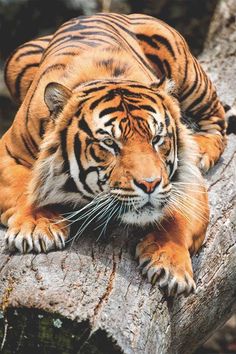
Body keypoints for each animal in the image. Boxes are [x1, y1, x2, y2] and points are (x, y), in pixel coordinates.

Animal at [0, 13, 225, 296]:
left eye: (156, 139)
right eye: (109, 143)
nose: (150, 184)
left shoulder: (188, 177)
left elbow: (179, 217)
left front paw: (170, 264)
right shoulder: (9, 153)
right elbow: (26, 188)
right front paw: (35, 227)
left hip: (187, 71)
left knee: (218, 120)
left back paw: (202, 149)